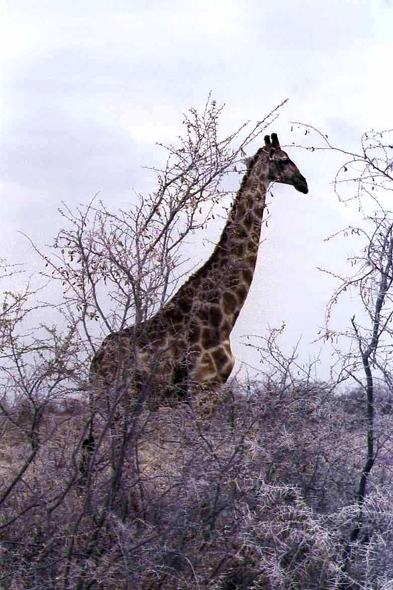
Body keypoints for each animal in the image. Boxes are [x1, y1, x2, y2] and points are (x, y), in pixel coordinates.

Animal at [88, 135, 306, 416]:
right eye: (284, 160)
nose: (304, 183)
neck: (222, 317)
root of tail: (95, 362)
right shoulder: (206, 390)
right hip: (118, 401)